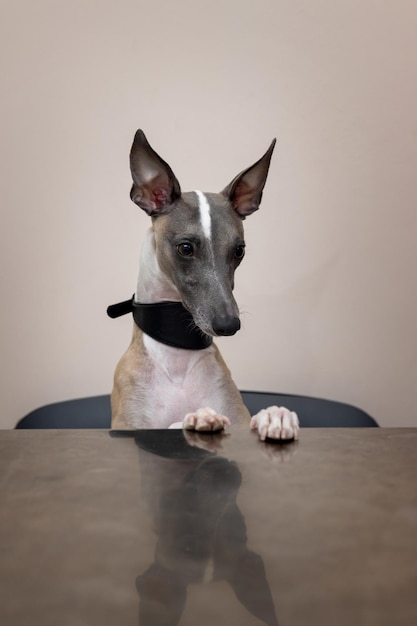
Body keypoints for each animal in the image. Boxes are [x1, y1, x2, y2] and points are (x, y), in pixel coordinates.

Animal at [108, 130, 300, 438]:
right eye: (185, 248)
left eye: (239, 250)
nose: (228, 325)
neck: (178, 362)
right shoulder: (128, 425)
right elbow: (169, 425)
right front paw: (198, 418)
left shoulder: (235, 410)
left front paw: (275, 416)